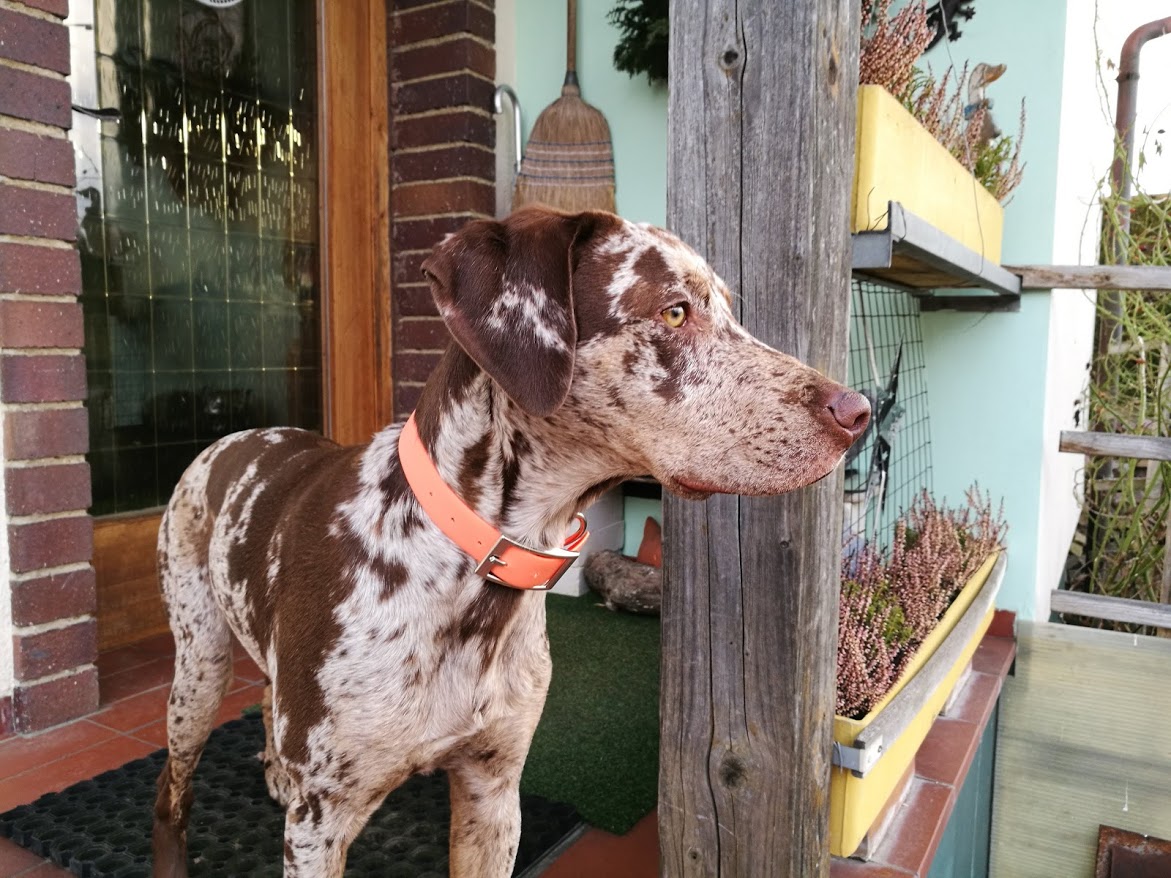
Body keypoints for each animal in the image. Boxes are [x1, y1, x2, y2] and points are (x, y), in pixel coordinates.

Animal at [151, 202, 871, 875]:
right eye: (673, 312)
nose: (859, 412)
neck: (465, 572)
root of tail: (232, 437)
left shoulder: (492, 792)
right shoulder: (322, 824)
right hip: (199, 669)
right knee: (169, 792)